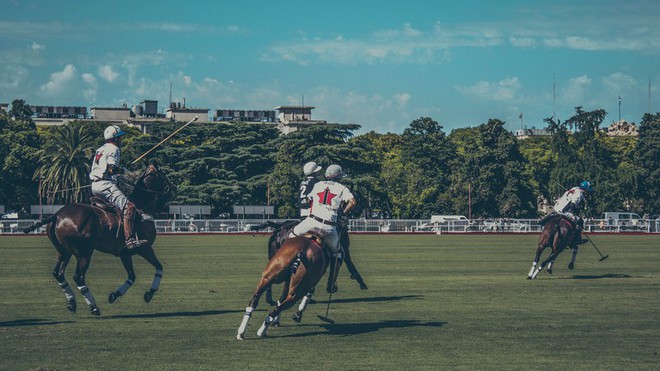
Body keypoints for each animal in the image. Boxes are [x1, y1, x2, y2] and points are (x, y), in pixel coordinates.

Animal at [22, 161, 174, 316]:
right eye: (163, 174)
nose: (173, 188)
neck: (142, 206)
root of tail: (57, 215)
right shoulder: (144, 247)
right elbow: (159, 267)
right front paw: (150, 293)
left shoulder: (124, 253)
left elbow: (132, 276)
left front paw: (114, 295)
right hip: (84, 253)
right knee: (78, 276)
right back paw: (93, 306)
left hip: (63, 251)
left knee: (58, 273)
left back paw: (72, 302)